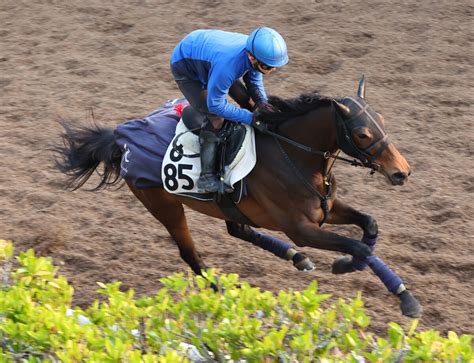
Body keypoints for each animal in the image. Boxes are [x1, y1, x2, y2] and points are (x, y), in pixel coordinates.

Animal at [55, 77, 422, 318]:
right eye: (362, 133)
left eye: (381, 120)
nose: (402, 172)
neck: (294, 154)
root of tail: (120, 137)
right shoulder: (301, 228)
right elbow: (358, 247)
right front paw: (400, 295)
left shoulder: (325, 208)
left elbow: (370, 225)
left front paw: (352, 267)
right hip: (164, 204)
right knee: (191, 254)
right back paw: (222, 296)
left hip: (228, 206)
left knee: (238, 229)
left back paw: (295, 258)